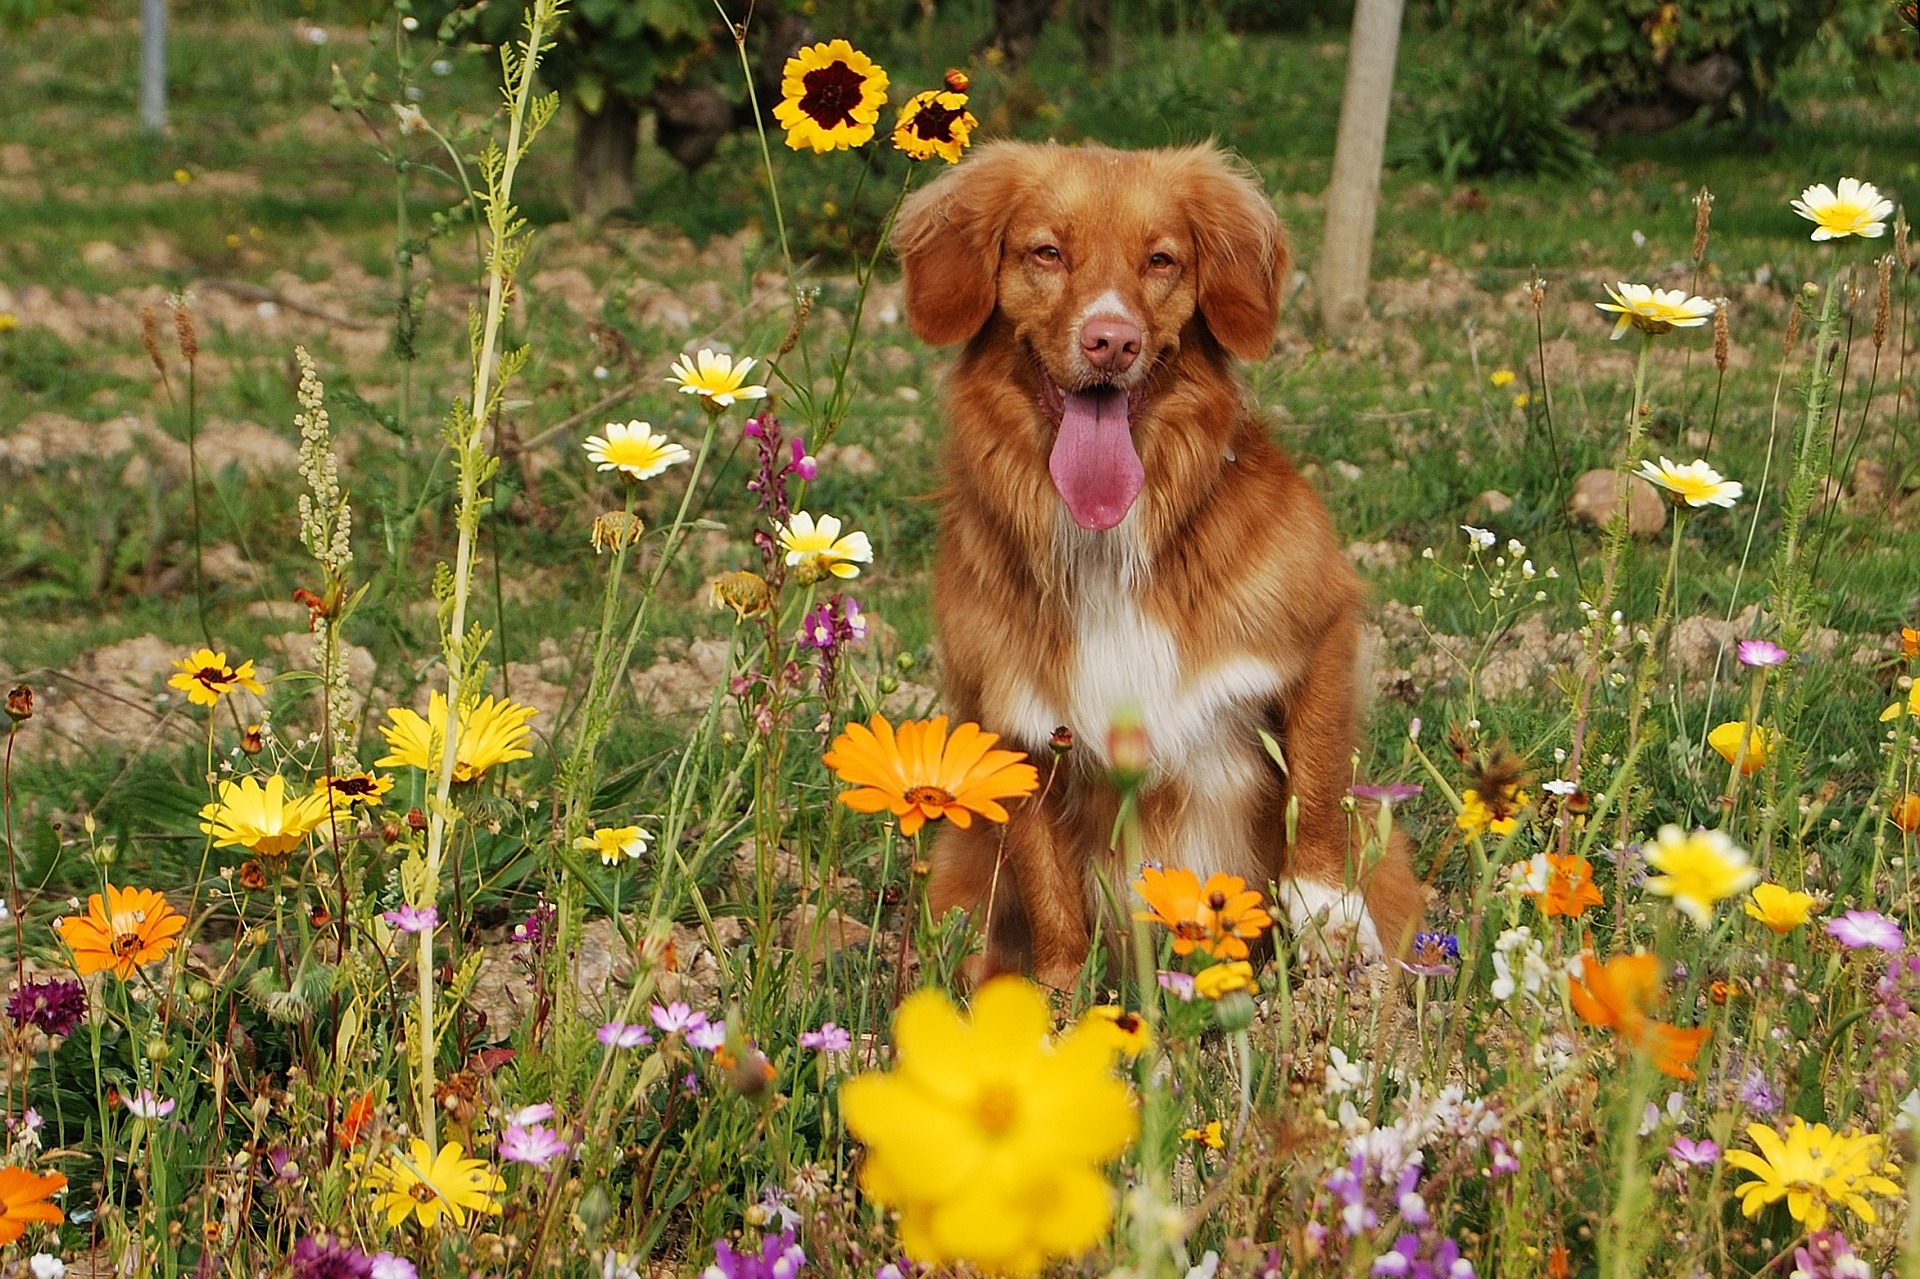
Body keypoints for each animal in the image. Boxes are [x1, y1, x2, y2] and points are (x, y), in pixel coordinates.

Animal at [890, 146, 1420, 983]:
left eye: (1161, 260)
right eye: (1048, 252)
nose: (1112, 341)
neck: (1110, 540)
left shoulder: (1322, 627)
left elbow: (1315, 779)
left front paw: (1325, 913)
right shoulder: (1018, 724)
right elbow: (1048, 883)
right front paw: (1061, 994)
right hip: (957, 866)